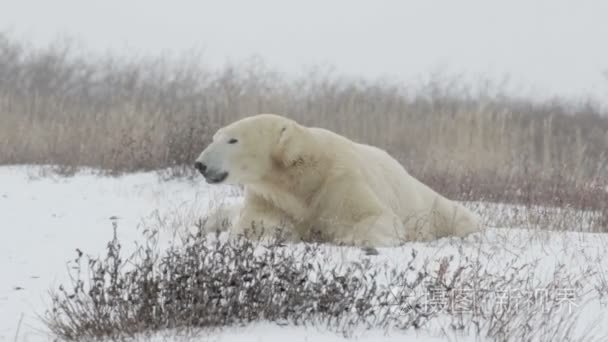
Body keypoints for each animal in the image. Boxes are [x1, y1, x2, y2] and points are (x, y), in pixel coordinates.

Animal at [195, 114, 480, 246]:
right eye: (214, 137)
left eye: (233, 140)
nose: (200, 164)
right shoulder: (270, 195)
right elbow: (256, 223)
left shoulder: (340, 181)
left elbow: (373, 215)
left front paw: (349, 238)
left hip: (429, 205)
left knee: (458, 216)